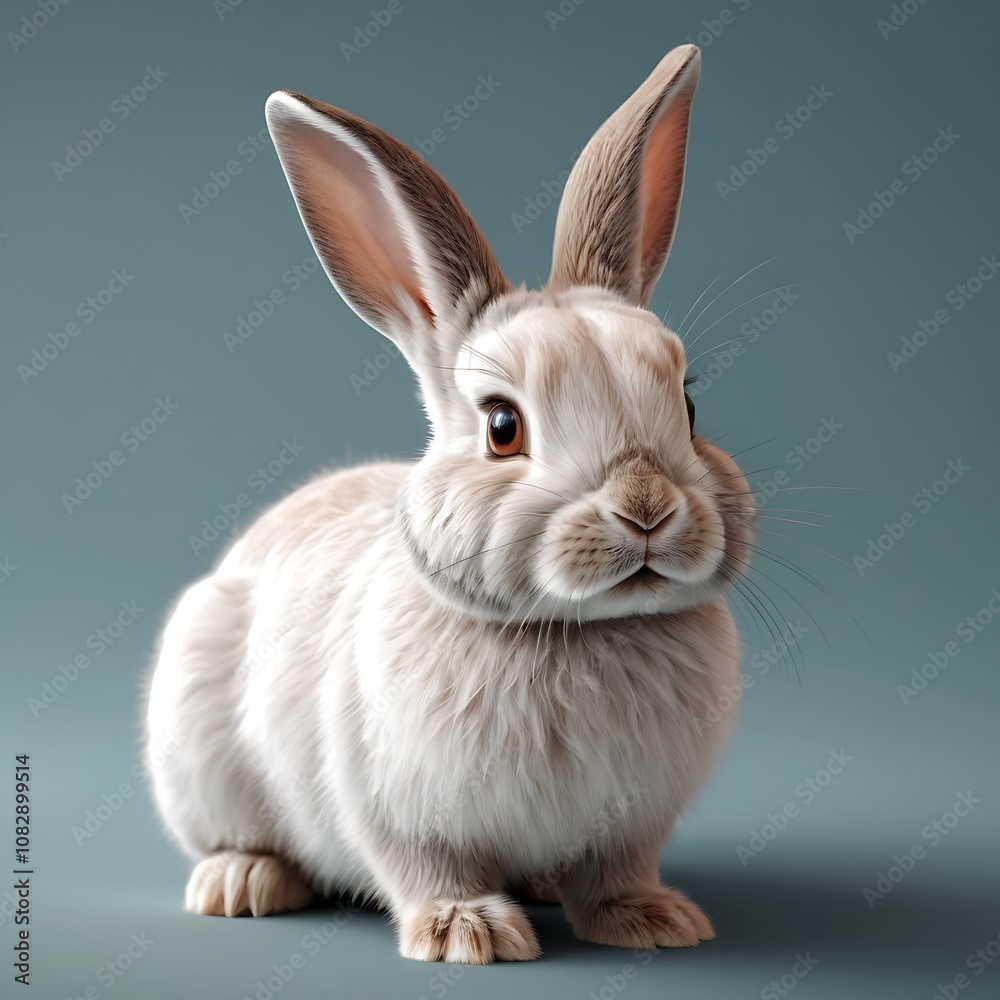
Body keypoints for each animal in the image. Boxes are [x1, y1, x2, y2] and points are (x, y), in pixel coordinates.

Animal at [145, 43, 754, 964]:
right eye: (502, 427)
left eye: (687, 405)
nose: (646, 509)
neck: (574, 632)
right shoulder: (392, 805)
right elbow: (425, 866)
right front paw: (470, 933)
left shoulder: (633, 823)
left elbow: (617, 869)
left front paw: (652, 921)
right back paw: (242, 883)